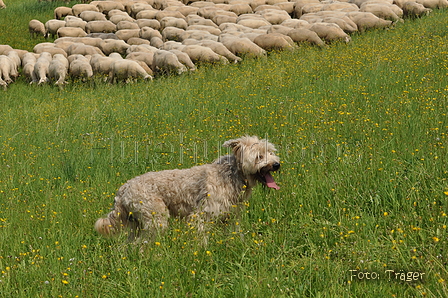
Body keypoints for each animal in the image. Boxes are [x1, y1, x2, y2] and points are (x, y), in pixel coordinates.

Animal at [95, 136, 280, 240]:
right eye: (259, 156)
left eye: (271, 152)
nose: (276, 164)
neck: (232, 175)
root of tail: (122, 190)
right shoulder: (201, 216)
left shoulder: (231, 217)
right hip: (155, 220)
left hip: (137, 224)